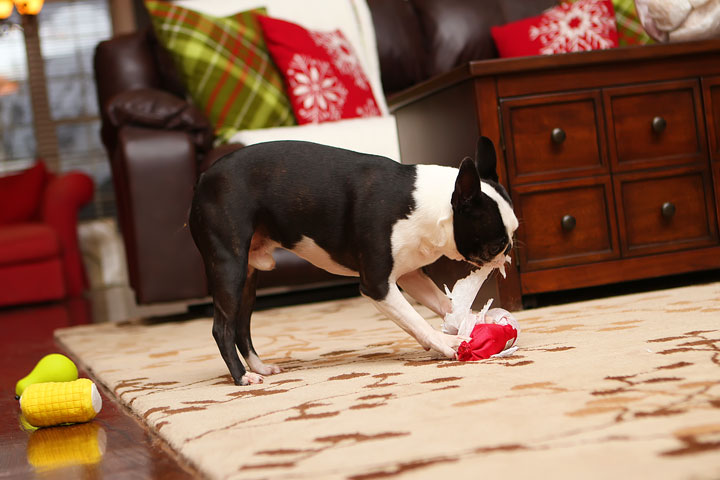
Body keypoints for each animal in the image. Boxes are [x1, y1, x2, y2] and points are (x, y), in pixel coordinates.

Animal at [191, 137, 516, 384]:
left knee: (241, 326)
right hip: (229, 265)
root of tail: (203, 178)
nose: (509, 253)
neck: (426, 205)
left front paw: (473, 321)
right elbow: (415, 319)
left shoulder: (409, 274)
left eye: (513, 234)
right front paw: (446, 343)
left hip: (247, 276)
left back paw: (258, 367)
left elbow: (443, 305)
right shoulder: (377, 285)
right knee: (222, 327)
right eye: (497, 243)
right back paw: (242, 377)